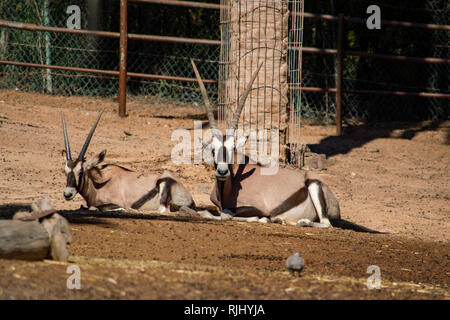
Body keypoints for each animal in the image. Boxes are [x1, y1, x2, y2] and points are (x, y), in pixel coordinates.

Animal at [60, 110, 194, 212]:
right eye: (65, 172)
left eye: (81, 172)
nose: (67, 194)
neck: (99, 182)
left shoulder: (117, 203)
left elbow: (96, 207)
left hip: (163, 185)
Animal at [191, 60, 342, 228]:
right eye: (213, 149)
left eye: (232, 149)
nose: (223, 172)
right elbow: (208, 212)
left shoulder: (258, 208)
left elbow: (226, 214)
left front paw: (261, 219)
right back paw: (282, 220)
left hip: (314, 186)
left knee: (326, 223)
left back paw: (300, 221)